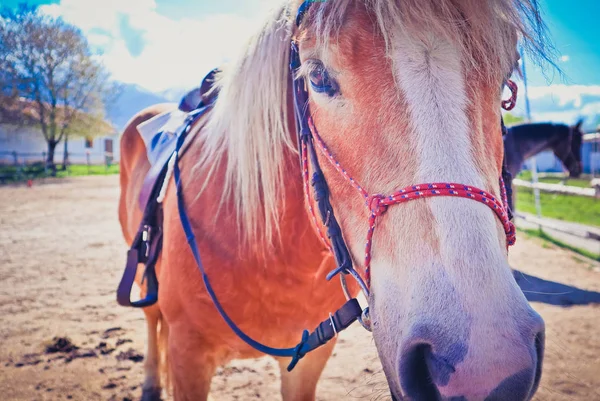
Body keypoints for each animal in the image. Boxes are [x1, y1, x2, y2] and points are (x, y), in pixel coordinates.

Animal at [118, 1, 552, 398]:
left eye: (507, 86)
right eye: (316, 77)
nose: (484, 368)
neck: (261, 248)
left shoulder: (308, 360)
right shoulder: (188, 357)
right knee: (151, 318)